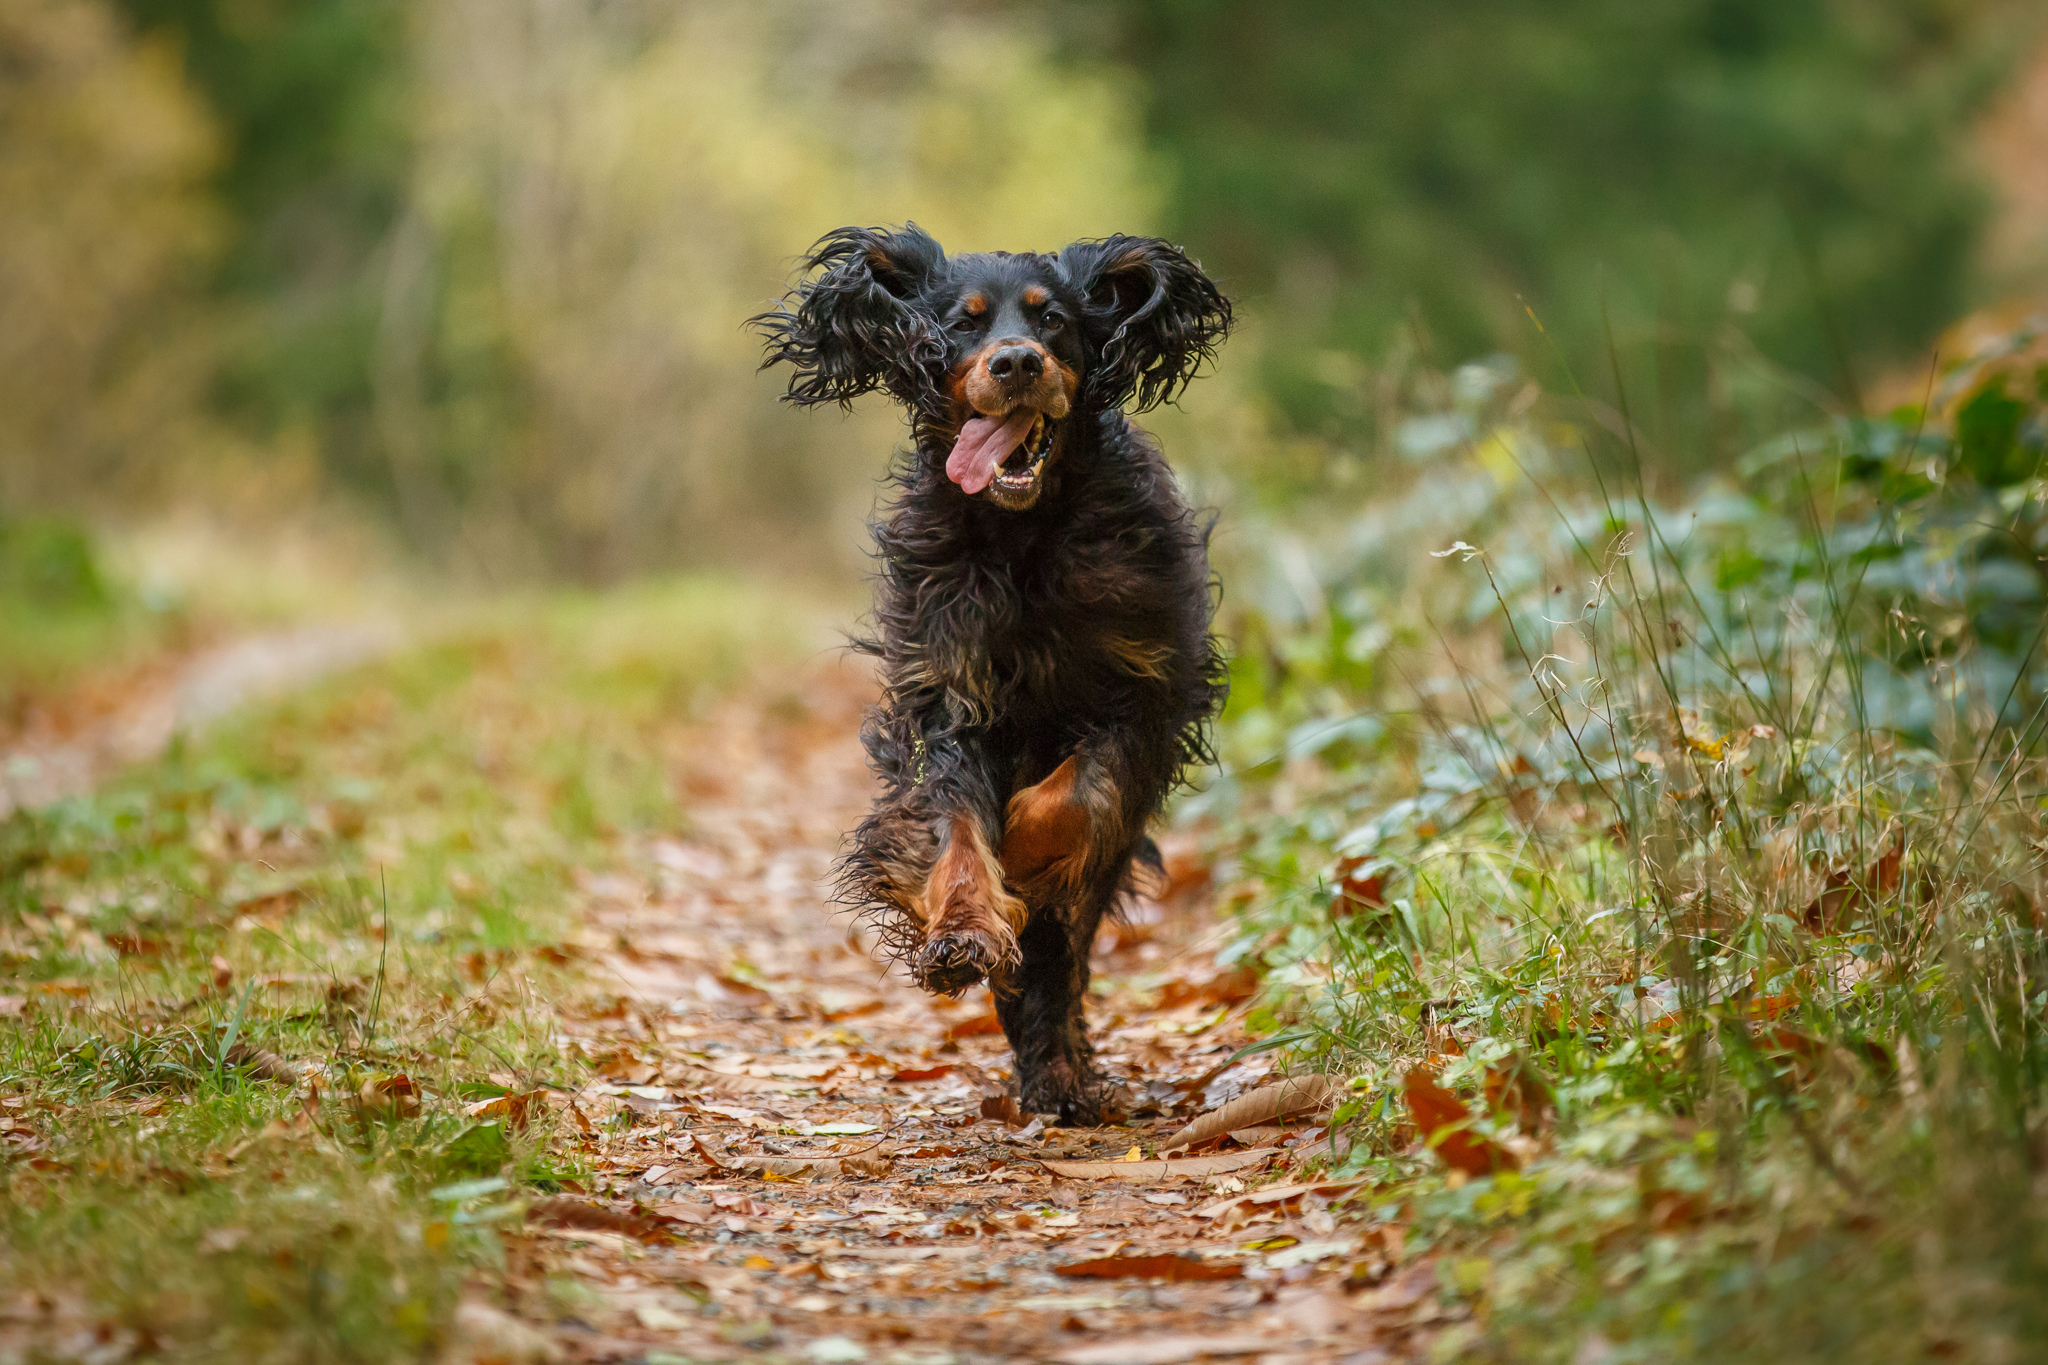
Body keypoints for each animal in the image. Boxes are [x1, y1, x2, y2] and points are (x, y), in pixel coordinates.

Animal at [757, 224, 1220, 1121]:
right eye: (963, 323)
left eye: (1054, 320)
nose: (1015, 363)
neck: (1023, 534)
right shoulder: (947, 697)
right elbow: (958, 827)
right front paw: (966, 926)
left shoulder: (1143, 695)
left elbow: (1069, 800)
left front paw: (1025, 864)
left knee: (1069, 944)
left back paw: (1061, 1065)